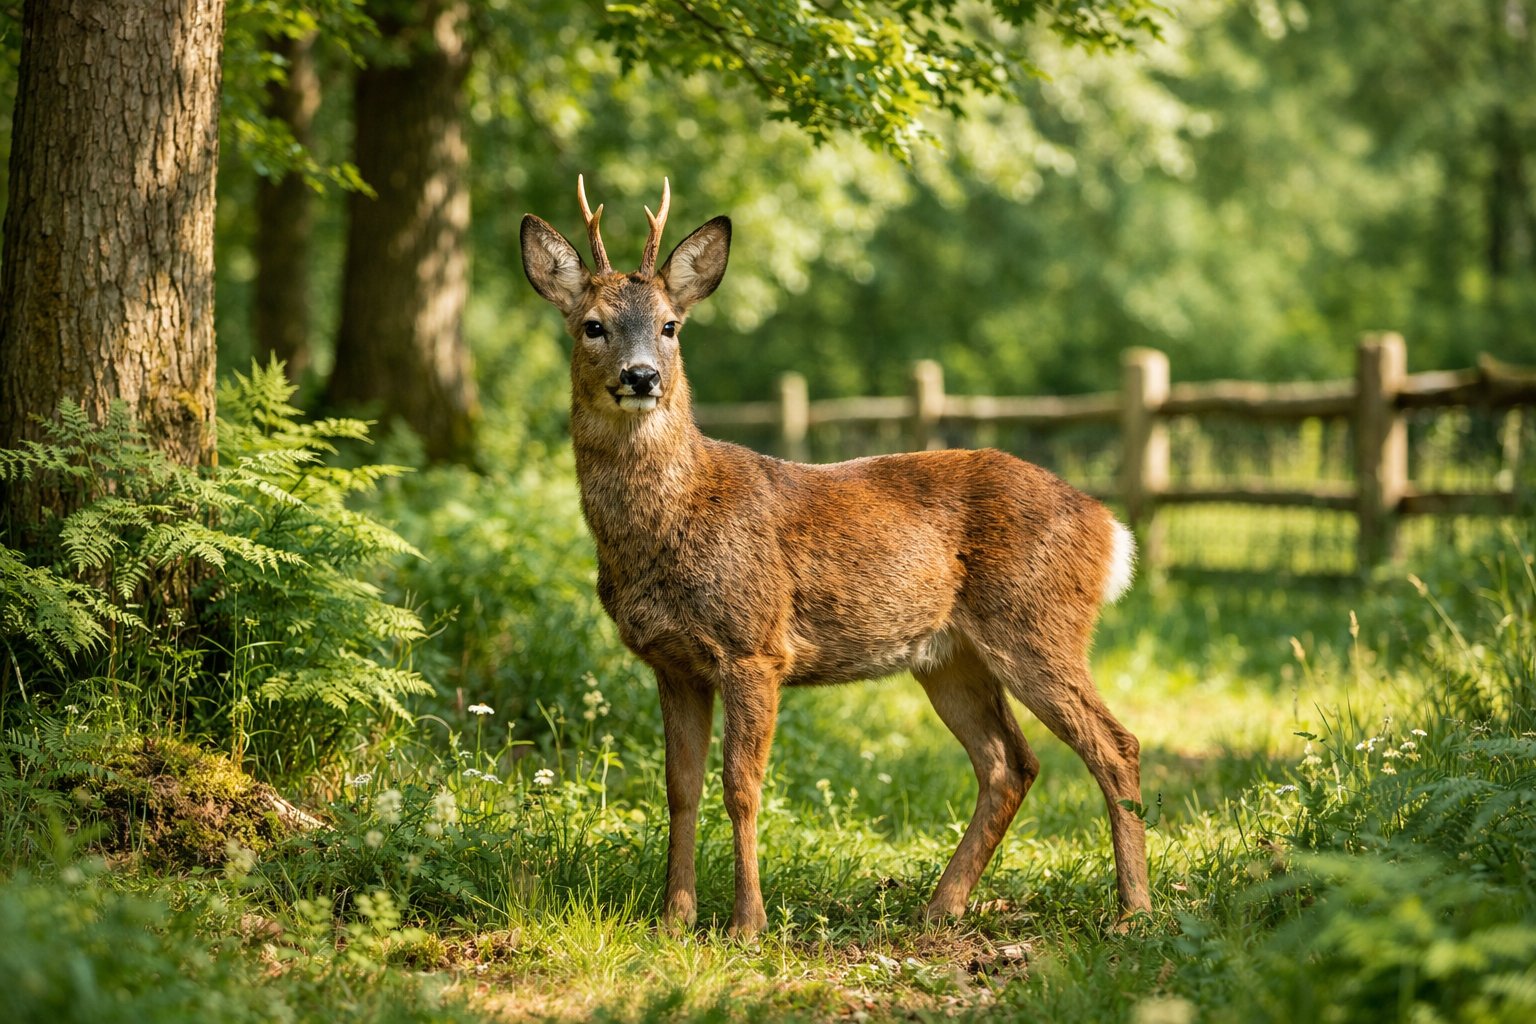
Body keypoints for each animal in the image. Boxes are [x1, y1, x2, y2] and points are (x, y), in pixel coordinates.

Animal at [520, 178, 1151, 938]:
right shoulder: (672, 661)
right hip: (950, 656)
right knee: (1010, 762)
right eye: (592, 325)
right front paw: (674, 919)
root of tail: (1106, 526)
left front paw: (747, 925)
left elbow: (741, 786)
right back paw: (939, 908)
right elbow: (679, 787)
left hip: (1037, 622)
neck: (675, 519)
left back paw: (1134, 912)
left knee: (1115, 745)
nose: (640, 376)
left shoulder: (755, 646)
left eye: (671, 326)